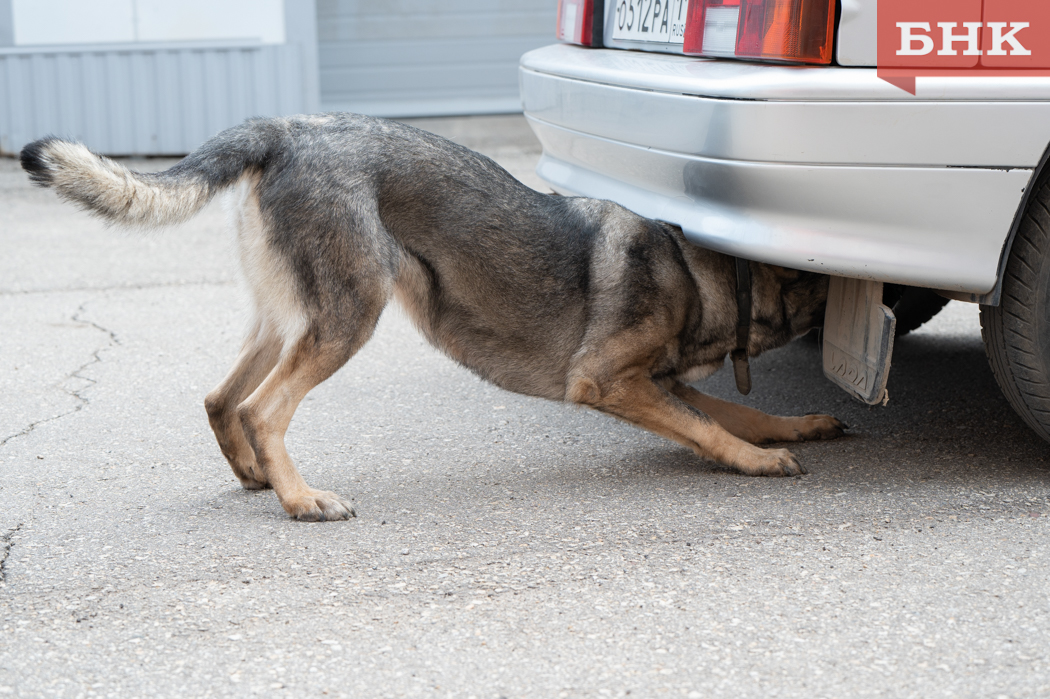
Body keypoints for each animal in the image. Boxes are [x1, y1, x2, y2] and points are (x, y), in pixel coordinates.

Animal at [18, 112, 844, 516]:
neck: (705, 274)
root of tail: (285, 129)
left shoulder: (658, 381)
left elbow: (739, 412)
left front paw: (796, 425)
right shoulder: (612, 382)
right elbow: (709, 427)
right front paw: (758, 461)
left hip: (290, 318)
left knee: (222, 398)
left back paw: (258, 477)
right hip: (350, 314)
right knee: (262, 407)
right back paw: (299, 498)